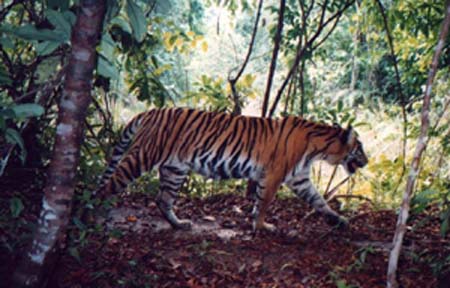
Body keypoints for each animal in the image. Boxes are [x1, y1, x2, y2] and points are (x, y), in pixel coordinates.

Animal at [96, 108, 368, 232]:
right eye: (360, 148)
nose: (367, 161)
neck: (319, 148)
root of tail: (151, 111)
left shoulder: (299, 179)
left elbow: (319, 200)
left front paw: (339, 220)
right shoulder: (274, 175)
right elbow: (263, 203)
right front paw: (262, 227)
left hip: (175, 170)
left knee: (162, 199)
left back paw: (179, 224)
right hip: (142, 157)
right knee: (108, 185)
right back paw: (93, 216)